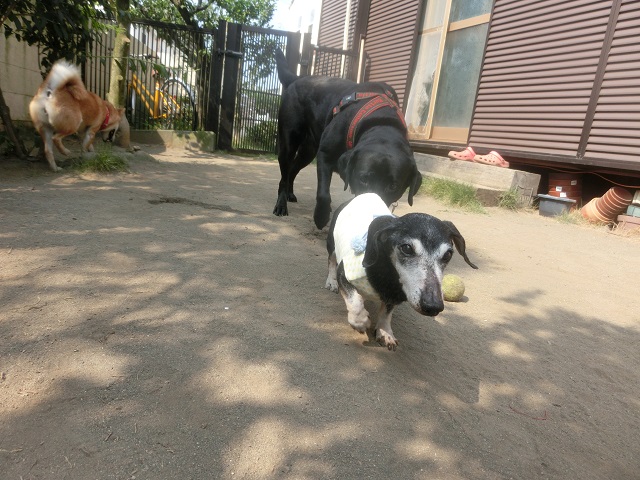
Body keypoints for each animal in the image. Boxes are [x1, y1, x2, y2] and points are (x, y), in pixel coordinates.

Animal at [273, 49, 422, 229]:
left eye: (393, 186)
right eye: (363, 179)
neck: (382, 122)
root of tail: (297, 78)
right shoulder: (325, 155)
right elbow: (323, 194)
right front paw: (321, 217)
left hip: (307, 152)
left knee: (293, 169)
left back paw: (290, 193)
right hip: (289, 141)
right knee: (284, 173)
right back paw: (281, 204)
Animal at [325, 193, 478, 350]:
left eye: (448, 254)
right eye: (407, 248)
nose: (433, 306)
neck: (389, 277)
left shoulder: (393, 297)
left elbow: (386, 314)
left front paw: (385, 332)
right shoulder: (344, 274)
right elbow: (354, 301)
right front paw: (360, 321)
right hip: (332, 244)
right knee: (331, 260)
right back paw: (331, 282)